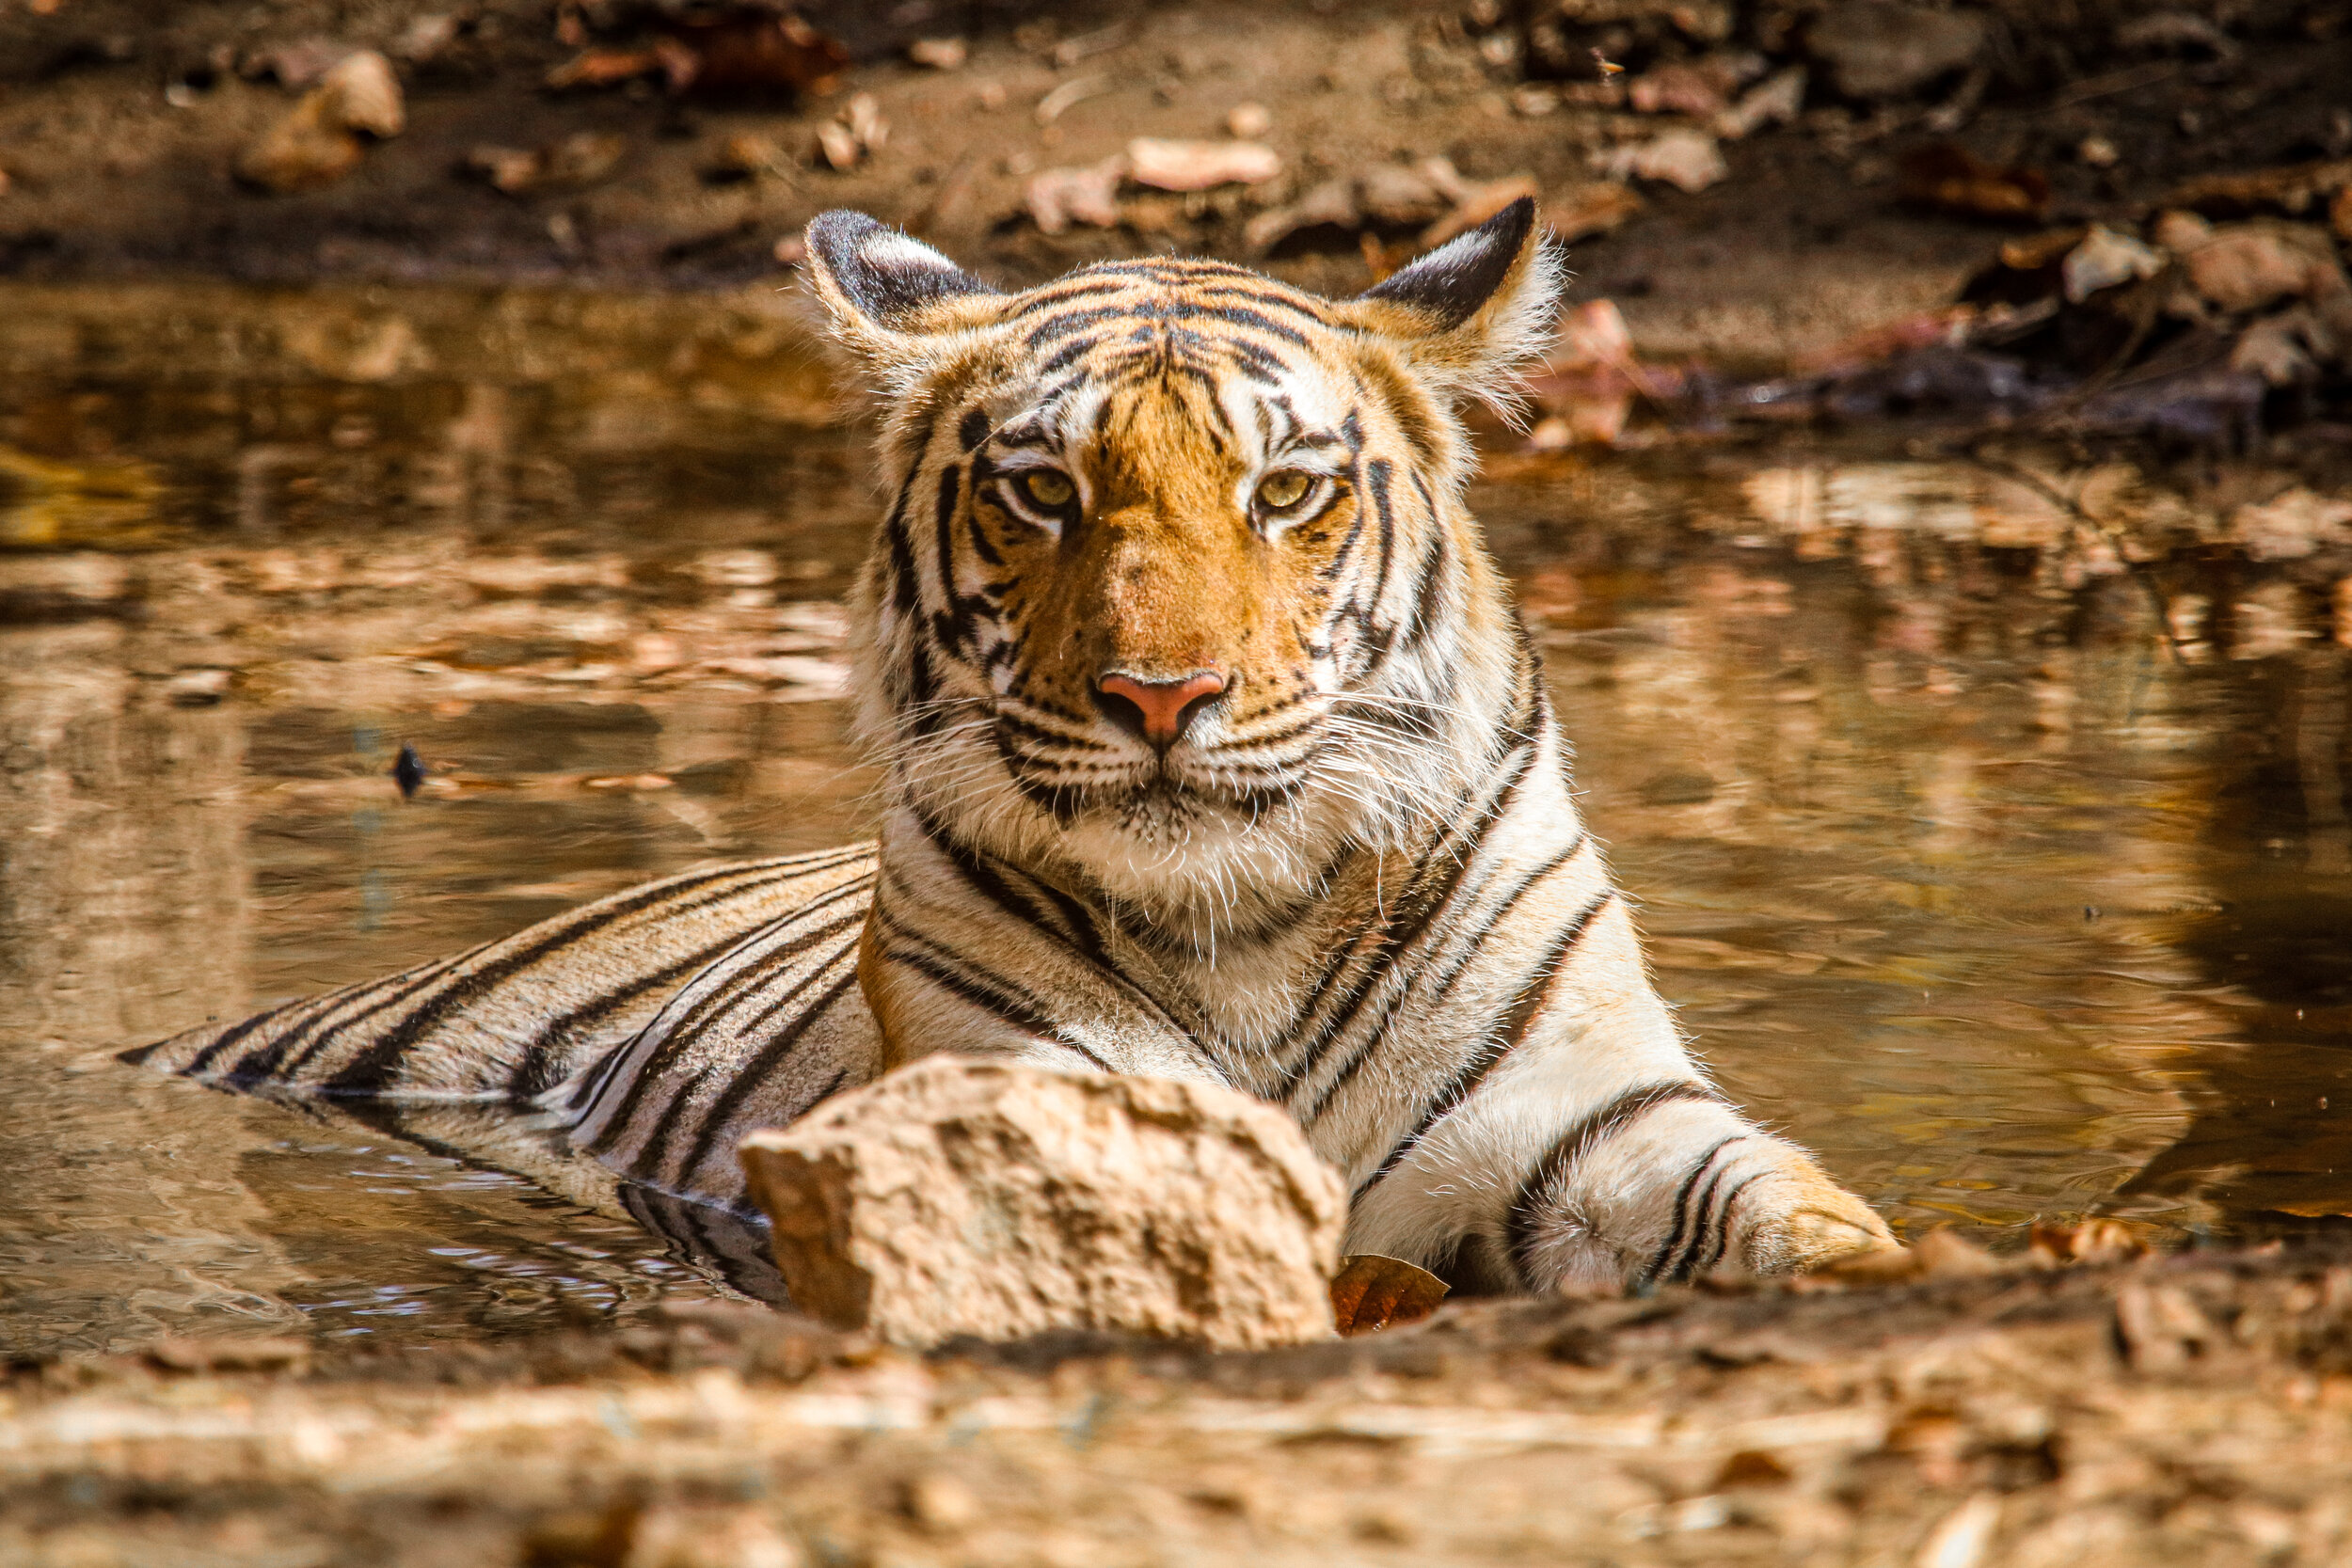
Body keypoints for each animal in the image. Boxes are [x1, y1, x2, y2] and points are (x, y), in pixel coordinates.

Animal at [128, 198, 1899, 1296]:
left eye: (1286, 490)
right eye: (1044, 489)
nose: (1164, 697)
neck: (1248, 921)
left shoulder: (1591, 1117)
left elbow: (1778, 1204)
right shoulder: (1021, 1100)